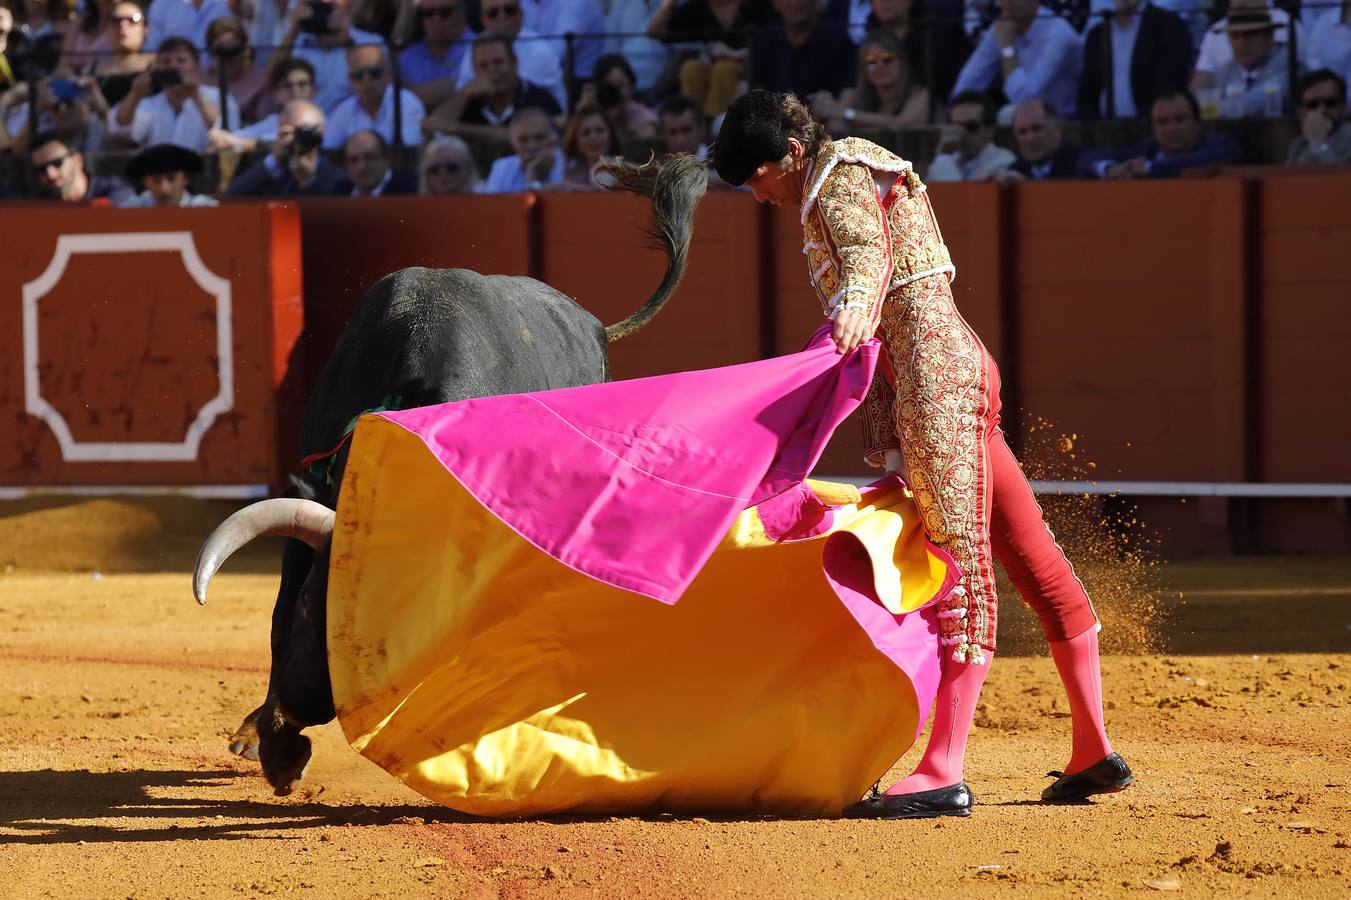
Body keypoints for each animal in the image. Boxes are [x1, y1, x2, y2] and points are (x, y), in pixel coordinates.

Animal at [197, 156, 718, 794]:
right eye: (309, 613)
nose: (302, 709)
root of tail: (594, 323)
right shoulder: (308, 492)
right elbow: (274, 617)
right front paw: (270, 742)